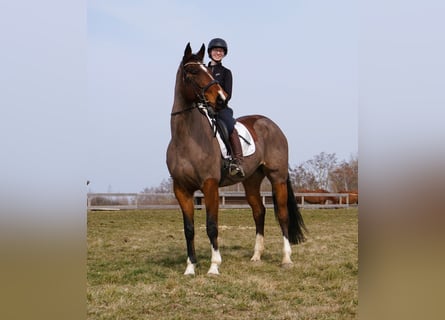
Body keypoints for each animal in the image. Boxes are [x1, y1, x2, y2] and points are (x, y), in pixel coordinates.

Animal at [166, 43, 306, 276]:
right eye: (193, 71)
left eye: (208, 70)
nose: (222, 99)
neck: (187, 138)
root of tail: (271, 125)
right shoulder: (181, 189)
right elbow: (189, 229)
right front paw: (190, 268)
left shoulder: (210, 185)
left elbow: (211, 226)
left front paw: (214, 266)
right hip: (251, 181)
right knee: (259, 212)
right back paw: (256, 256)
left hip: (277, 177)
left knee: (282, 215)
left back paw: (286, 259)